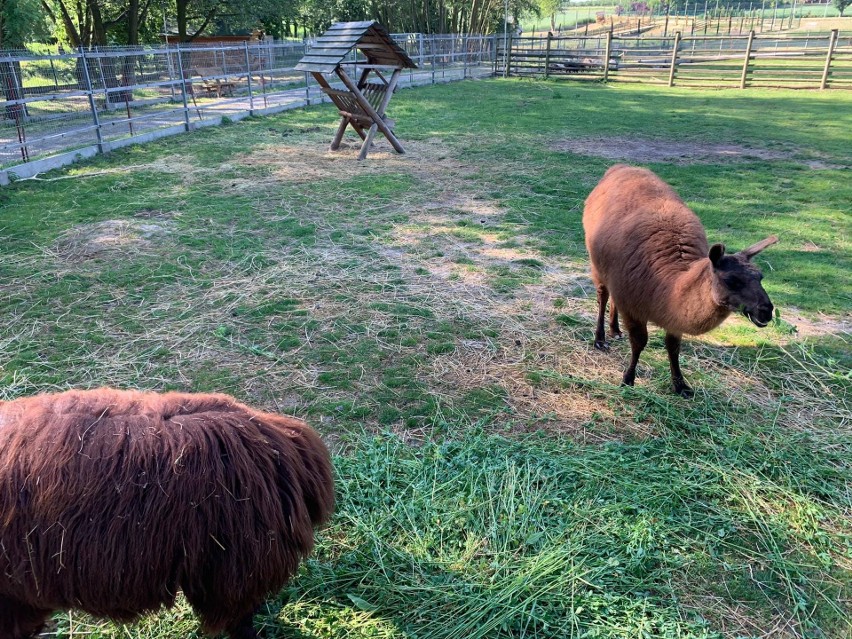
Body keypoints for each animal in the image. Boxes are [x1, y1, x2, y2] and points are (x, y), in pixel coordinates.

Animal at [584, 165, 776, 396]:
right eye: (731, 280)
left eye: (761, 277)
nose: (766, 311)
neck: (667, 286)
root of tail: (620, 167)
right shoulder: (633, 304)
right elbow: (639, 343)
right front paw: (628, 380)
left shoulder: (668, 314)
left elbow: (673, 347)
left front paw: (681, 385)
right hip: (598, 263)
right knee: (603, 295)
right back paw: (600, 339)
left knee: (612, 297)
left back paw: (615, 330)